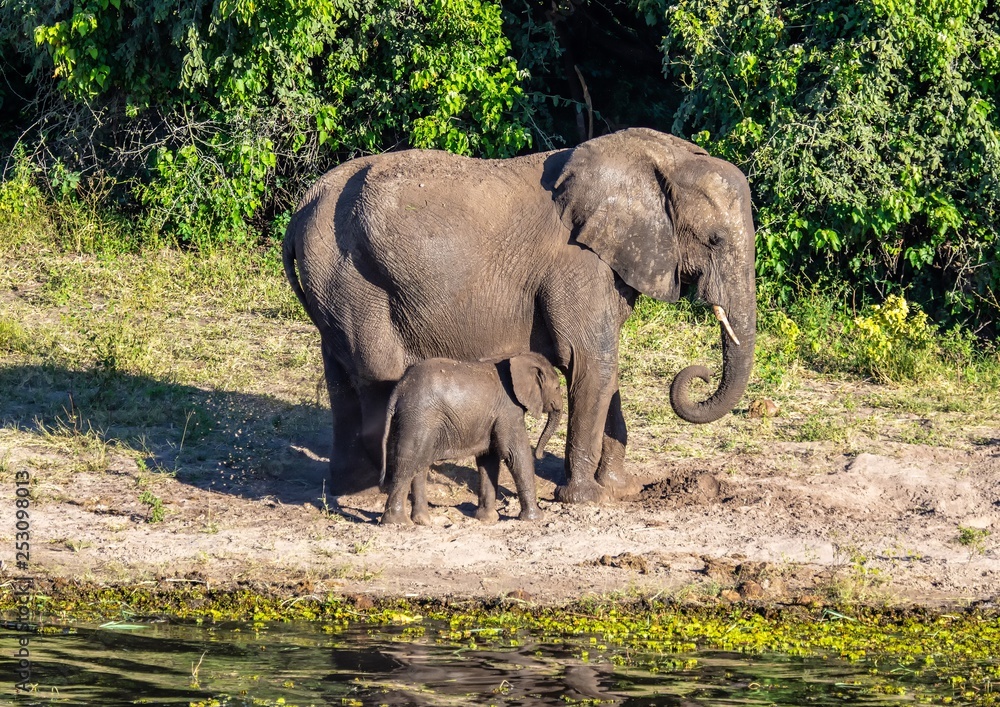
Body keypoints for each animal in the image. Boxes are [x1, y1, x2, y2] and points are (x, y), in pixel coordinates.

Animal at [283, 127, 756, 504]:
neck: (660, 159)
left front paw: (620, 489)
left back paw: (348, 487)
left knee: (341, 374)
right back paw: (374, 491)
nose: (697, 374)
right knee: (374, 372)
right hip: (354, 278)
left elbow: (604, 369)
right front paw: (585, 500)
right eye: (714, 240)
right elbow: (591, 362)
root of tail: (303, 206)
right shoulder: (576, 261)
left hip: (335, 282)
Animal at [379, 353, 562, 525]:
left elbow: (488, 459)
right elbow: (514, 454)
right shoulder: (509, 409)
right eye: (557, 387)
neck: (518, 359)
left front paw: (487, 519)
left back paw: (422, 520)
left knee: (420, 463)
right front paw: (535, 518)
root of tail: (399, 389)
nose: (541, 455)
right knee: (408, 461)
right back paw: (398, 522)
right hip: (419, 417)